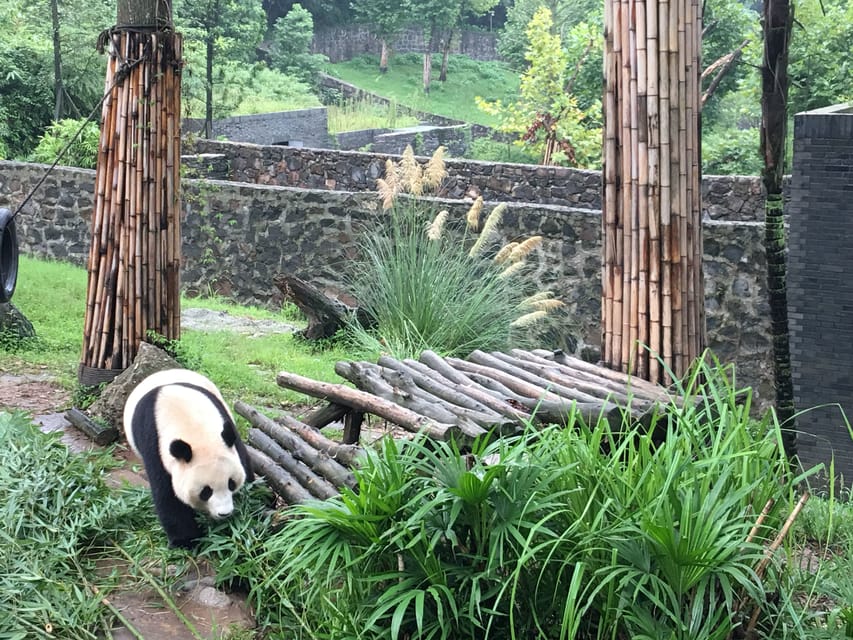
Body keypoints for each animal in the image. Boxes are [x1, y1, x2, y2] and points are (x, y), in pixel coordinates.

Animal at [123, 370, 255, 552]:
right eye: (206, 491)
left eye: (231, 483)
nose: (224, 513)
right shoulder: (154, 445)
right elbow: (167, 495)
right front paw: (186, 541)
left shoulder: (227, 429)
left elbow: (244, 462)